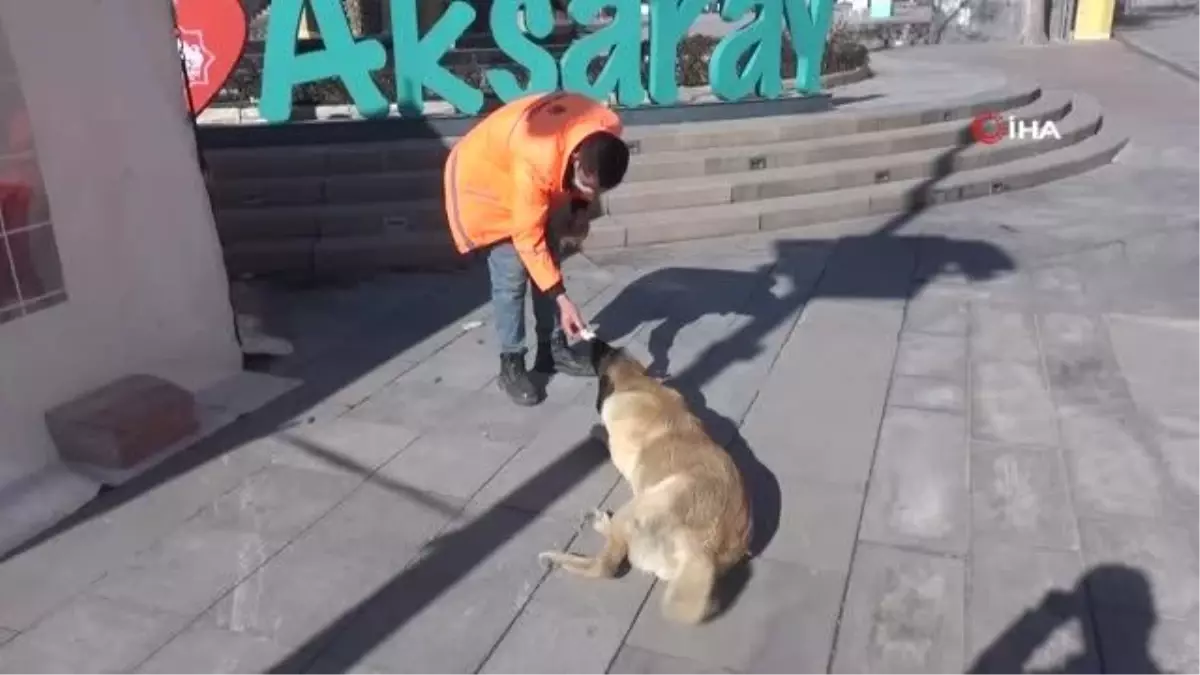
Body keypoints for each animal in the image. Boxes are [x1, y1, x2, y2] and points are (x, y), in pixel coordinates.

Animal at [537, 338, 748, 624]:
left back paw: (565, 552)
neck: (639, 384)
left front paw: (597, 431)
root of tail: (704, 550)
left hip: (641, 506)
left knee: (605, 565)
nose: (595, 340)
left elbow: (604, 435)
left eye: (603, 352)